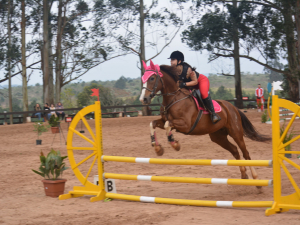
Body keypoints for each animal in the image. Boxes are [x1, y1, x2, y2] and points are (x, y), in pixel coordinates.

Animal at [139, 59, 270, 183]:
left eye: (152, 78)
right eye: (143, 78)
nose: (143, 99)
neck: (174, 98)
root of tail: (232, 107)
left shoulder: (185, 125)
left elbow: (168, 125)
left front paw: (175, 144)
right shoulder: (164, 120)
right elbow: (153, 124)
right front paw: (157, 148)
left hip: (236, 132)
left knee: (245, 153)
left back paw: (256, 179)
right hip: (218, 136)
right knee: (234, 150)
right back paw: (243, 175)